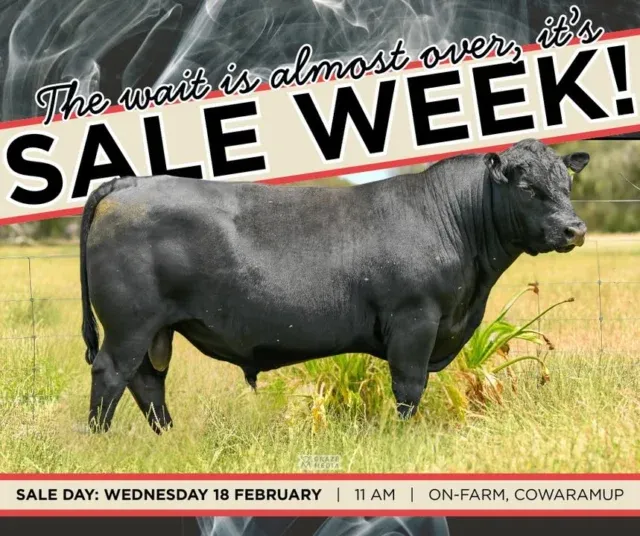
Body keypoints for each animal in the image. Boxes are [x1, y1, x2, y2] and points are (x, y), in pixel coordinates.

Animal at [79, 138, 589, 434]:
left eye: (566, 183)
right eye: (527, 188)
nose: (575, 229)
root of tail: (129, 183)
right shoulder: (415, 319)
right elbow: (409, 384)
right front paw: (404, 438)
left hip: (155, 330)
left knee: (147, 382)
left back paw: (168, 436)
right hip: (130, 324)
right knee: (112, 374)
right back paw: (100, 442)